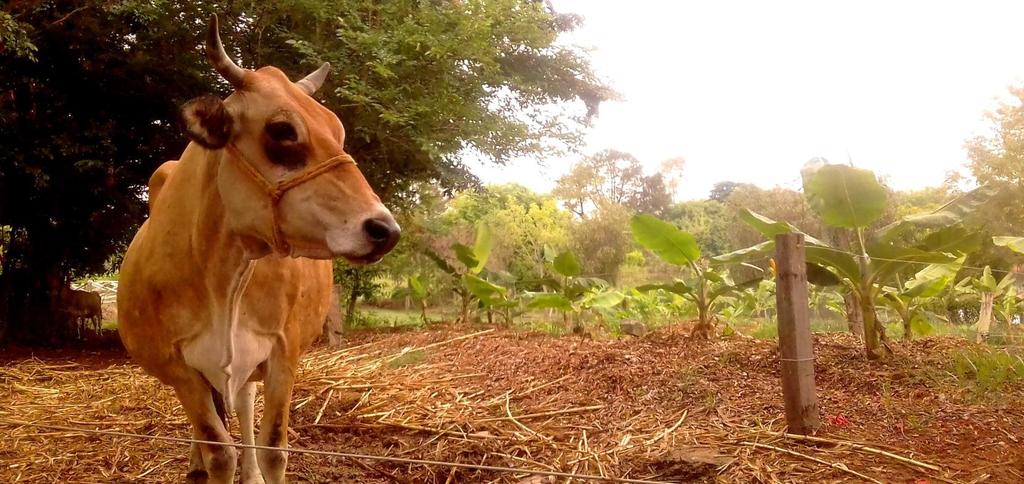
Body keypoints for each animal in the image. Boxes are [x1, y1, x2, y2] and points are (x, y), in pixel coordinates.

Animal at [116, 16, 395, 482]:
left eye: (338, 131)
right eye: (282, 130)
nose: (384, 229)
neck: (222, 275)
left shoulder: (284, 350)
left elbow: (274, 448)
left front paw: (259, 467)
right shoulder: (178, 368)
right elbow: (218, 451)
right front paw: (207, 463)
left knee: (244, 405)